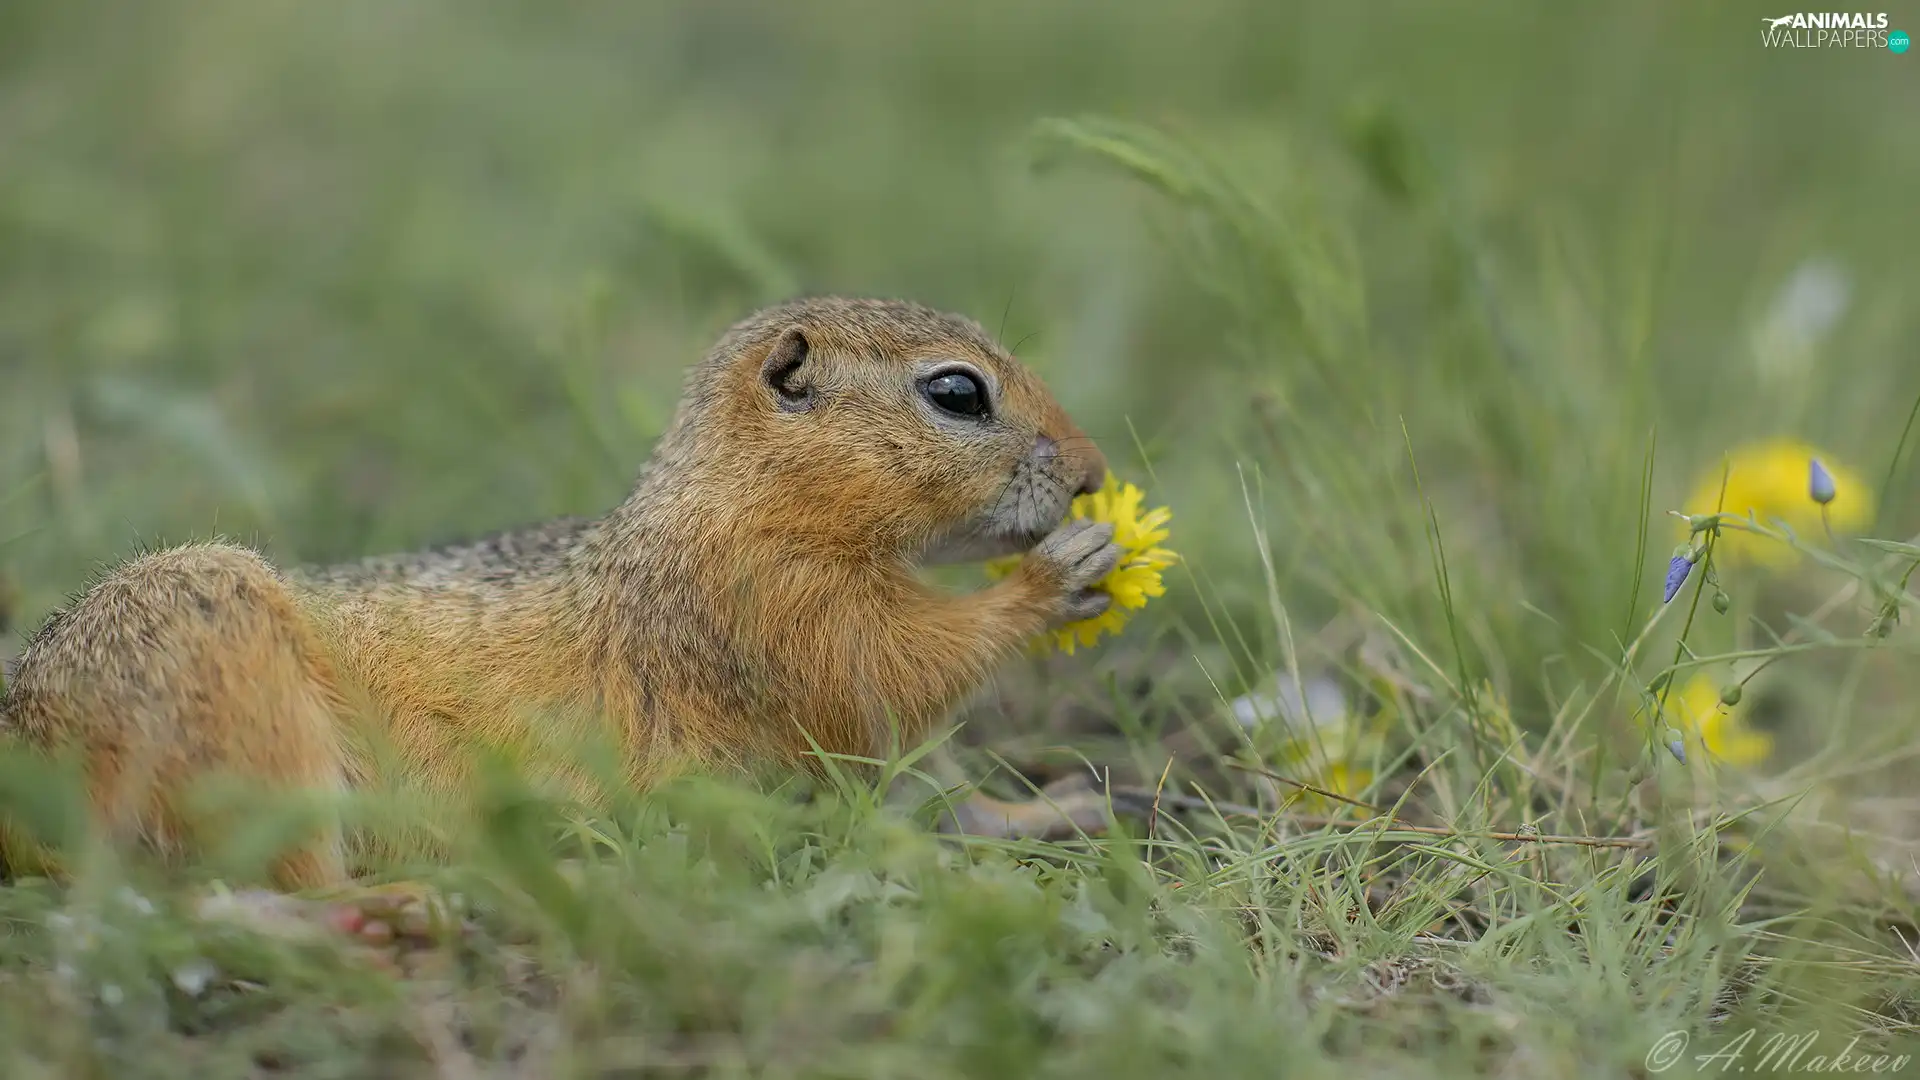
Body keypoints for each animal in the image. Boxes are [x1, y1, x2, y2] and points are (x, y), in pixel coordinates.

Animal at [0, 294, 1128, 899]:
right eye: (957, 392)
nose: (1090, 472)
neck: (717, 506)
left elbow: (917, 786)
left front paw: (1050, 806)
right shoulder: (772, 606)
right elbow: (888, 673)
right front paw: (1058, 575)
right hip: (226, 679)